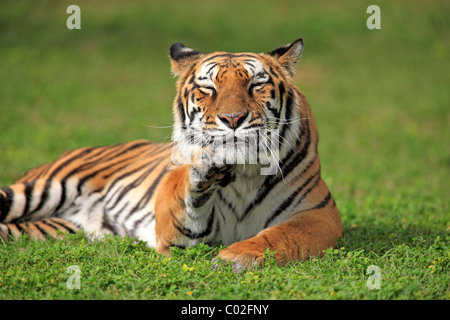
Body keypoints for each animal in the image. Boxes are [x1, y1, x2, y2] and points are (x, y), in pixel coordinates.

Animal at [0, 38, 344, 272]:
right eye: (208, 88)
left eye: (256, 84)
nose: (232, 119)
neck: (245, 173)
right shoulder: (177, 233)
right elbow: (186, 199)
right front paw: (203, 171)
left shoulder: (318, 215)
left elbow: (281, 235)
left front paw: (236, 257)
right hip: (35, 191)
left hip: (53, 229)